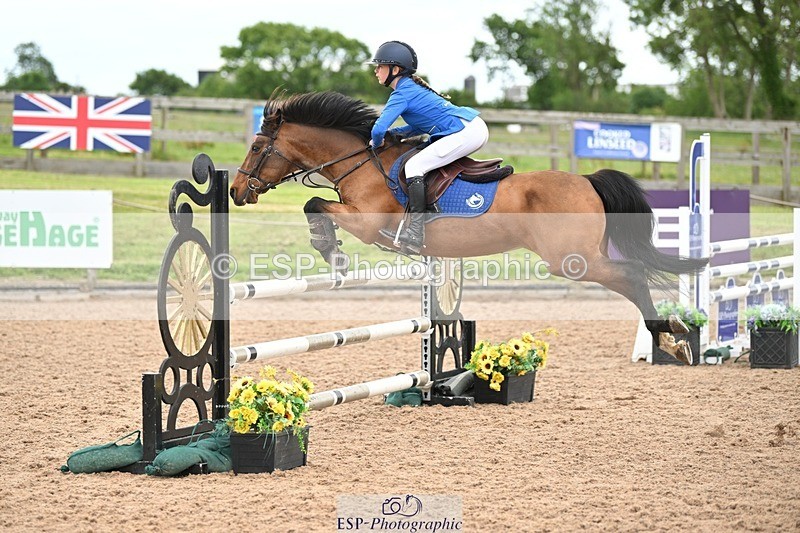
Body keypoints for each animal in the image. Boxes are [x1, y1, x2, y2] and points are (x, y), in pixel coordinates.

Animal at [231, 91, 708, 363]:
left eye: (256, 147)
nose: (236, 191)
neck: (361, 162)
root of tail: (588, 180)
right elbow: (316, 204)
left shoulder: (367, 223)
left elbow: (314, 204)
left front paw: (329, 249)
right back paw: (672, 339)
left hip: (572, 260)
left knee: (633, 274)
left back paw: (669, 338)